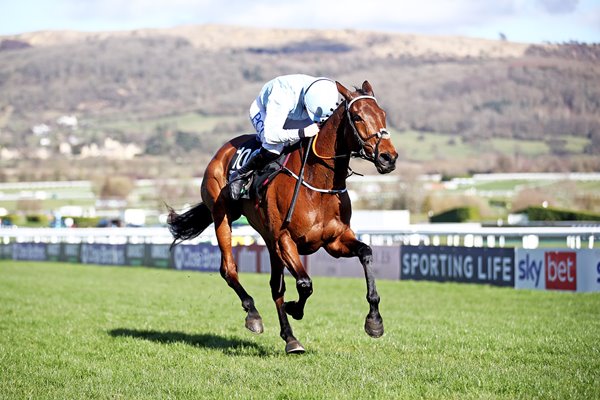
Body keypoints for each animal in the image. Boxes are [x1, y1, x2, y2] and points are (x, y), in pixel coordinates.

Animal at [166, 80, 398, 354]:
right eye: (358, 116)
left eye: (383, 114)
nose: (388, 157)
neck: (317, 182)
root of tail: (220, 153)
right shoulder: (285, 239)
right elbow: (305, 283)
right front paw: (294, 308)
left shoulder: (334, 241)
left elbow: (366, 253)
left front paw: (374, 321)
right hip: (223, 217)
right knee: (229, 269)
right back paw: (253, 314)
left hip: (268, 241)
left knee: (275, 286)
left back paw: (291, 339)